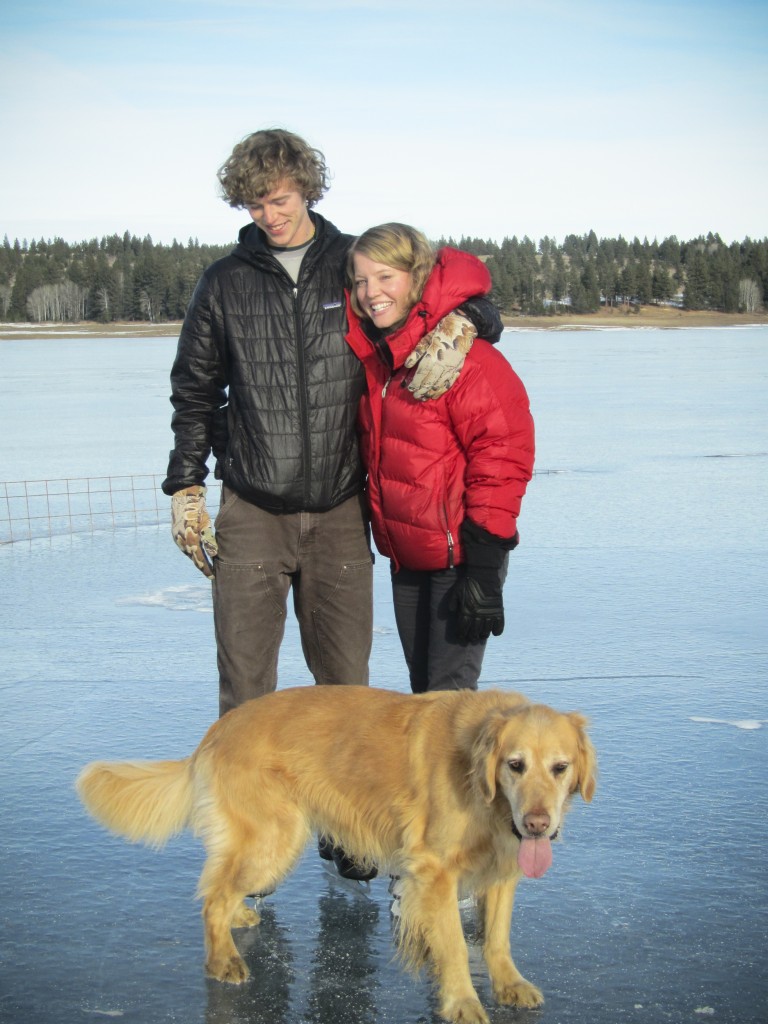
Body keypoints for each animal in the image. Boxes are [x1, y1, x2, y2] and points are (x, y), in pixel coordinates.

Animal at [76, 688, 593, 1024]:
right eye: (515, 764)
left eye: (560, 767)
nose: (537, 824)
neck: (477, 780)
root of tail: (219, 728)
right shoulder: (435, 872)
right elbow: (457, 948)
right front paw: (463, 1002)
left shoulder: (504, 868)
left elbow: (497, 937)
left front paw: (509, 984)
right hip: (276, 840)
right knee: (212, 897)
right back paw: (223, 959)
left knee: (219, 886)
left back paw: (238, 917)